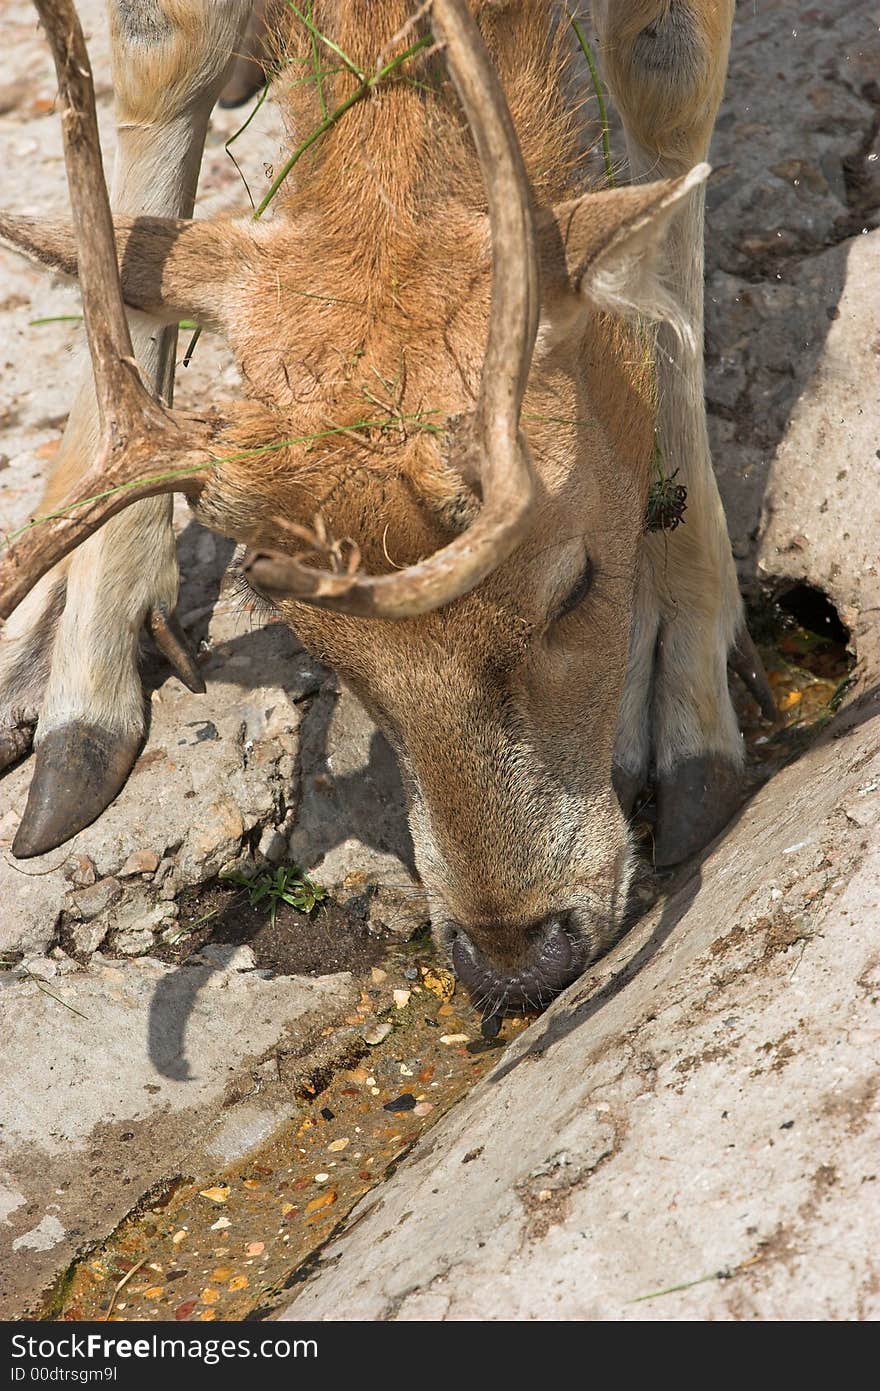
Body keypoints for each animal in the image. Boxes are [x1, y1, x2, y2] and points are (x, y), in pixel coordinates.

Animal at [0, 0, 772, 1023]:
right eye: (321, 647)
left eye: (576, 588)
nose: (515, 961)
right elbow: (166, 55)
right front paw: (81, 690)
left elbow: (669, 85)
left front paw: (686, 704)